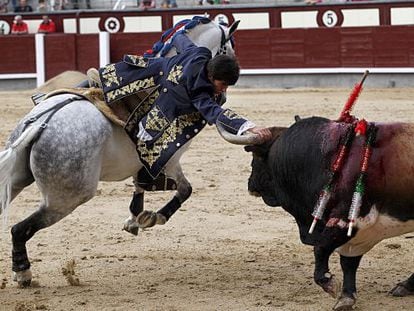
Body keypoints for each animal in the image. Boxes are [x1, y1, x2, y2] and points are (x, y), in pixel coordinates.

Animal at [0, 18, 252, 288]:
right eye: (231, 49)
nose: (222, 96)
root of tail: (40, 123)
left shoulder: (141, 162)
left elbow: (140, 186)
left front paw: (135, 218)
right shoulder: (170, 159)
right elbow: (184, 189)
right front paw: (153, 217)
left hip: (17, 179)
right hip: (67, 198)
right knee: (19, 229)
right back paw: (23, 273)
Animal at [246, 116, 414, 310]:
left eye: (256, 157)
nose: (250, 183)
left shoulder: (348, 221)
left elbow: (321, 249)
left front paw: (329, 283)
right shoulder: (356, 232)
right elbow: (348, 262)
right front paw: (347, 296)